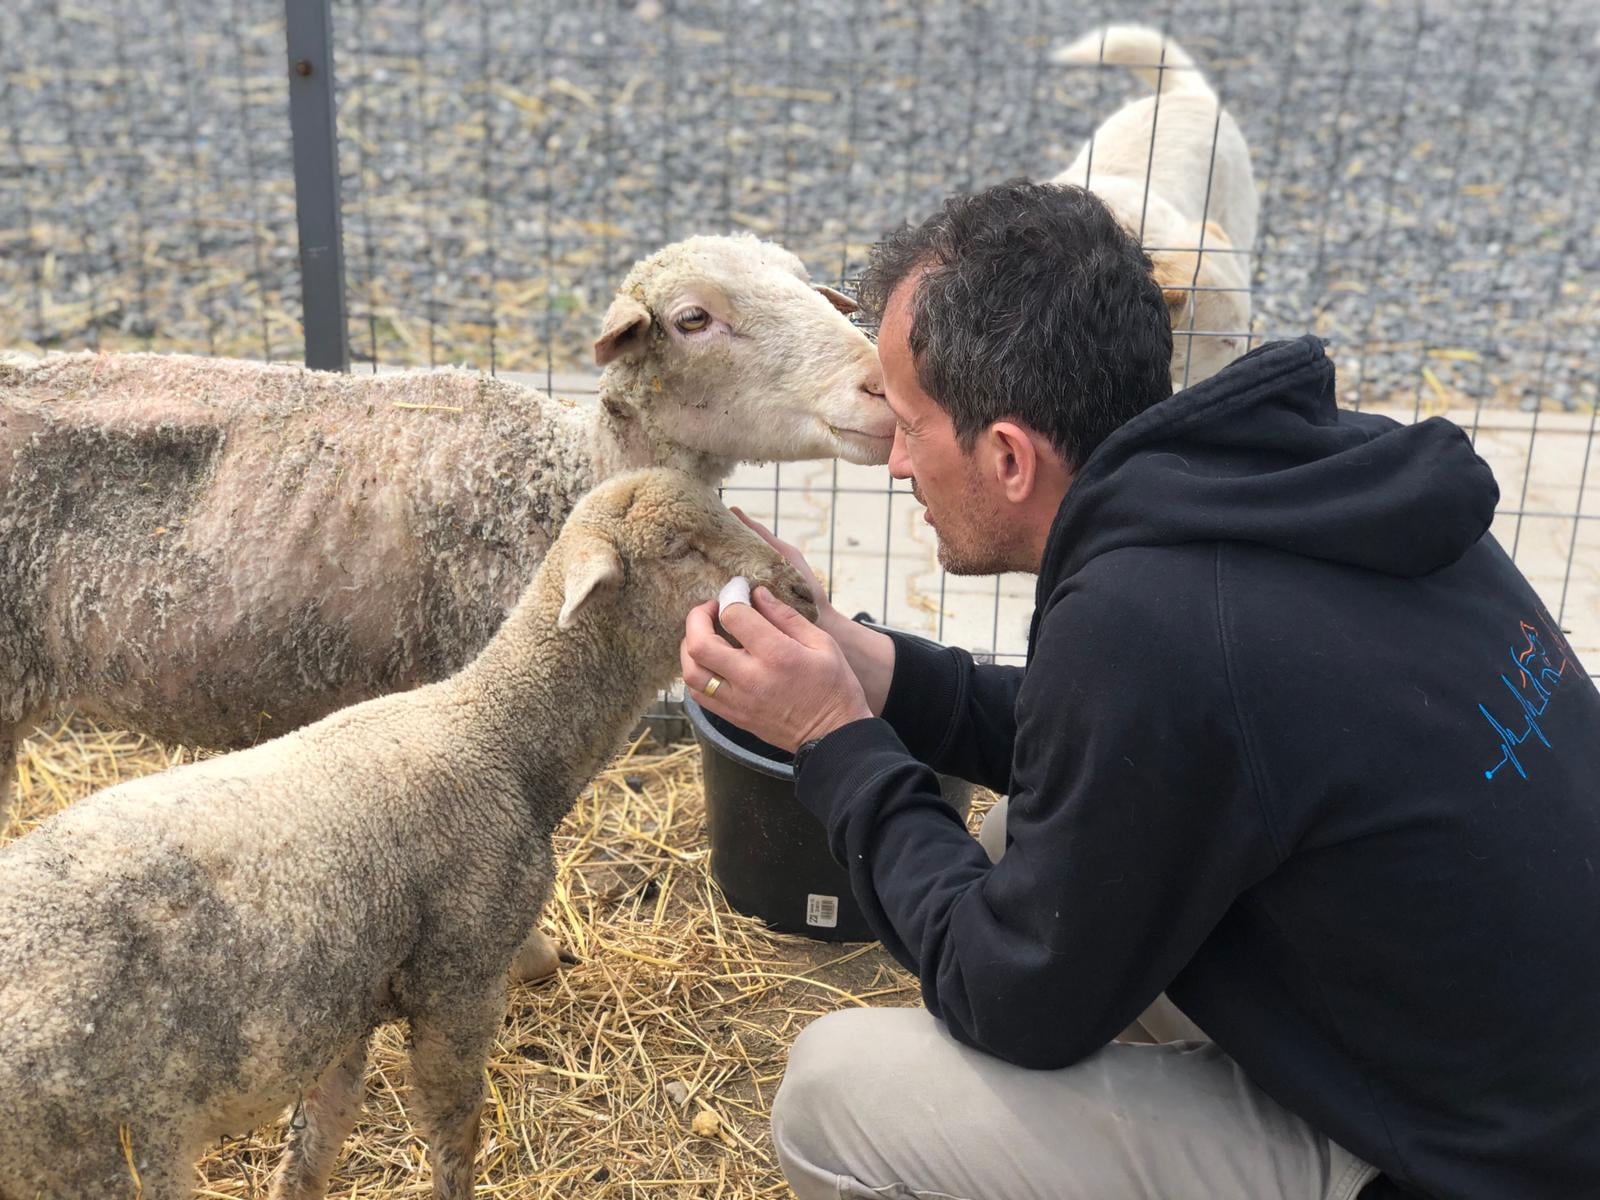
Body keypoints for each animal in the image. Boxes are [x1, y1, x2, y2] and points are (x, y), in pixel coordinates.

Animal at [0, 470, 812, 1200]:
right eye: (680, 547)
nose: (801, 589)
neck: (499, 738)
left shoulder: (346, 1005)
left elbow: (319, 1139)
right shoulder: (461, 976)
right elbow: (455, 1128)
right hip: (102, 1157)